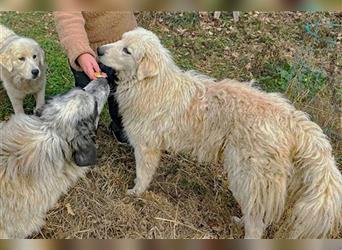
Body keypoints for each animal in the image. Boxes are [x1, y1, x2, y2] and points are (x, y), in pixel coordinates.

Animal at [97, 26, 342, 238]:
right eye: (120, 39)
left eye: (127, 50)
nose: (98, 50)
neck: (152, 84)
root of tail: (290, 118)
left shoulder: (146, 146)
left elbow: (143, 174)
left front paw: (135, 193)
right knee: (256, 214)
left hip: (248, 177)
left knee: (256, 222)